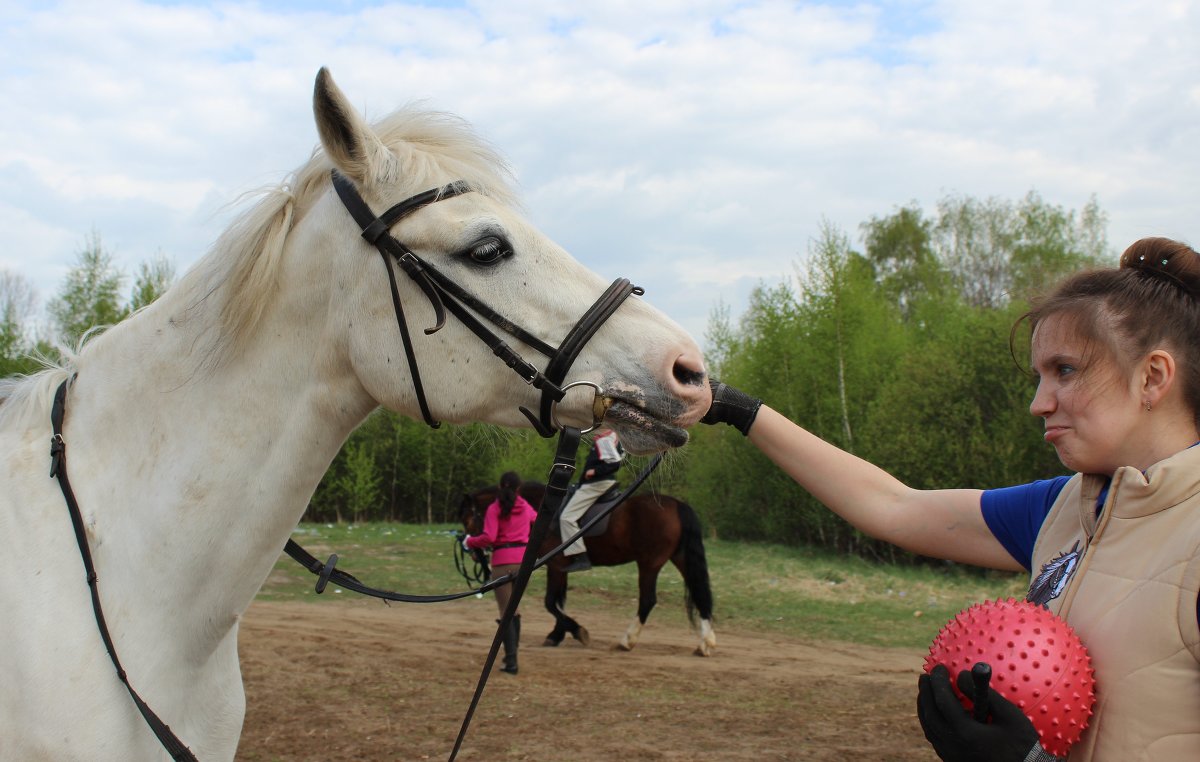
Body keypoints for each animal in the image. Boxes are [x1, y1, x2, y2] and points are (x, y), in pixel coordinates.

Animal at [463, 482, 715, 657]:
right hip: (679, 558)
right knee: (700, 594)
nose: (473, 552)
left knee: (648, 600)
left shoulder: (556, 566)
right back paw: (705, 643)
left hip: (649, 563)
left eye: (469, 520)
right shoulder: (561, 568)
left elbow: (550, 602)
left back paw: (627, 640)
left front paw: (576, 630)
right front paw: (557, 635)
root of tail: (677, 504)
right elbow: (558, 602)